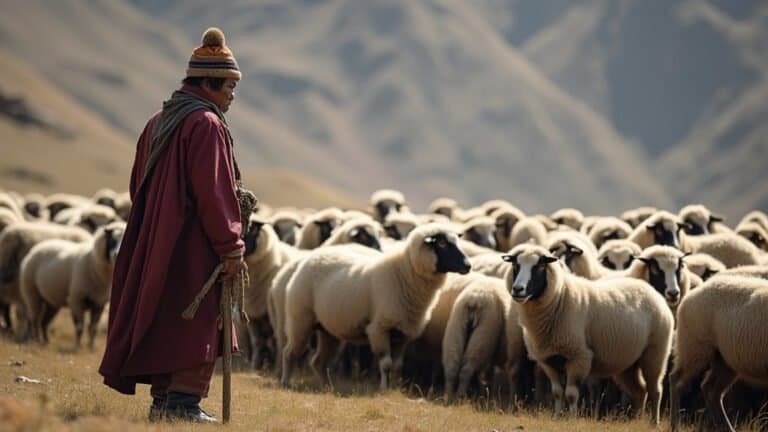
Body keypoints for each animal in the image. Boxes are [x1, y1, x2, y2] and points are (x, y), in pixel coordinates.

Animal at [19, 221, 123, 350]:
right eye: (112, 240)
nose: (116, 255)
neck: (93, 263)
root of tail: (38, 247)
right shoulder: (75, 299)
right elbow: (79, 327)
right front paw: (77, 346)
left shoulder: (99, 303)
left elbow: (93, 328)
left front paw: (91, 347)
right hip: (32, 293)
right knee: (34, 318)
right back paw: (34, 340)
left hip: (52, 302)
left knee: (44, 321)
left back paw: (45, 341)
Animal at [668, 276, 768, 430]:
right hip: (694, 347)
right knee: (676, 380)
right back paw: (675, 425)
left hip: (724, 360)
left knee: (711, 390)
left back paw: (723, 427)